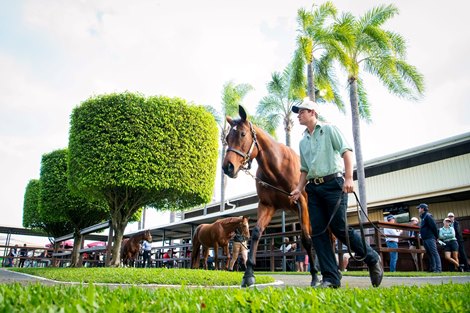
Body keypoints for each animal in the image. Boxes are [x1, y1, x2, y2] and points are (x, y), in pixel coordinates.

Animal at [223, 106, 318, 286]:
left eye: (242, 134)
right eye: (226, 137)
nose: (228, 167)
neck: (278, 168)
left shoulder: (301, 203)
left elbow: (306, 239)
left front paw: (315, 276)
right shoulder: (267, 206)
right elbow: (256, 233)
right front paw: (248, 275)